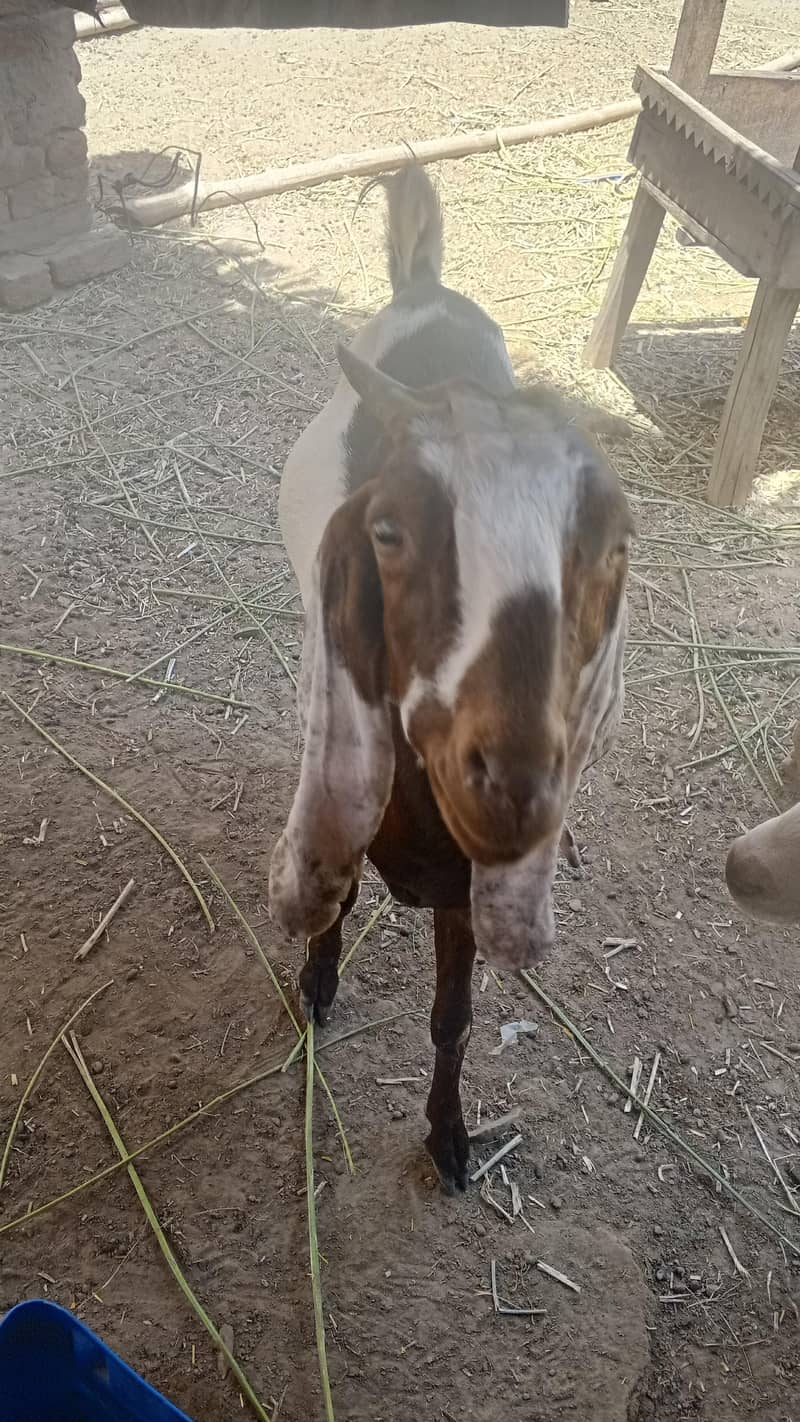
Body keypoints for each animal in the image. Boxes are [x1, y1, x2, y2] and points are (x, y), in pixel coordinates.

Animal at [270, 167, 633, 1192]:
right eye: (389, 532)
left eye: (606, 546)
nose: (511, 782)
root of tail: (425, 286)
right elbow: (335, 896)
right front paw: (317, 984)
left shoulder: (469, 898)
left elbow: (454, 1019)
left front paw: (449, 1137)